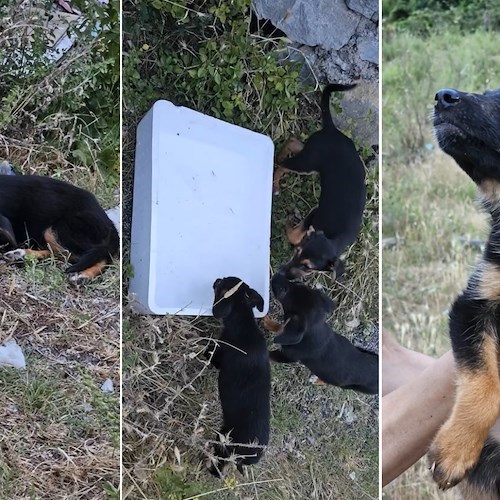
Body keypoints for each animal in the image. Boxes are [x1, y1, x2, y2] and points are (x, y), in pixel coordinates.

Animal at [206, 278, 272, 476]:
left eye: (221, 286)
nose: (217, 279)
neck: (244, 324)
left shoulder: (219, 354)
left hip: (225, 441)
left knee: (219, 466)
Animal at [274, 82, 368, 278]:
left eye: (308, 268)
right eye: (297, 252)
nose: (284, 274)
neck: (334, 238)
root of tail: (332, 129)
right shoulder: (313, 214)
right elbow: (295, 235)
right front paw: (288, 226)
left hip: (310, 158)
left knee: (293, 142)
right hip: (306, 163)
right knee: (283, 162)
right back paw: (275, 178)